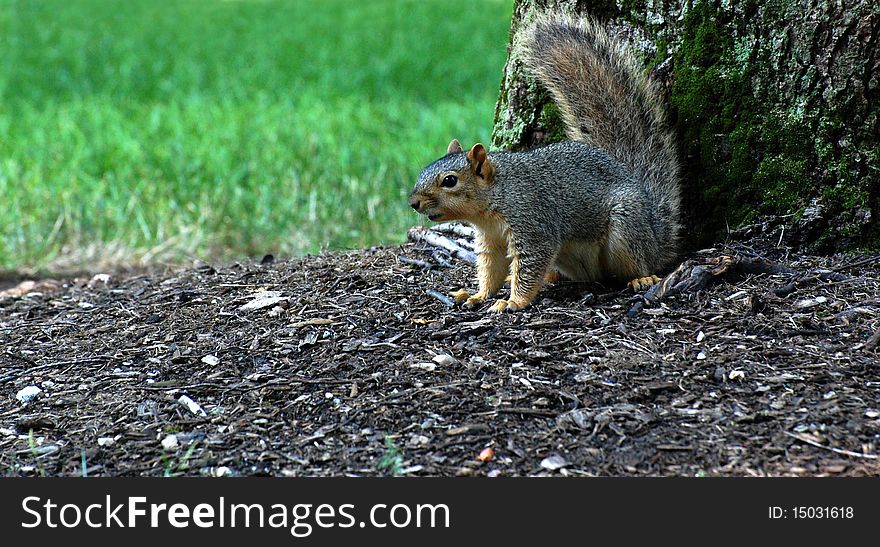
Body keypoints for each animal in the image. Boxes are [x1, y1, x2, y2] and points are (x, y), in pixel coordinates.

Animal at [406, 12, 680, 312]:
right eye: (423, 171)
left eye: (450, 181)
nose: (413, 202)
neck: (495, 199)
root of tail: (655, 231)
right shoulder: (491, 240)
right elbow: (491, 268)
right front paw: (479, 294)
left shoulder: (532, 222)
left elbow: (531, 263)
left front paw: (513, 301)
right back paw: (551, 277)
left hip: (627, 226)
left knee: (638, 261)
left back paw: (642, 278)